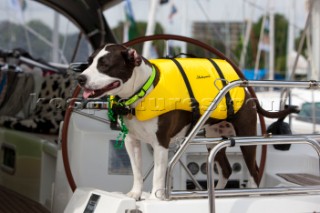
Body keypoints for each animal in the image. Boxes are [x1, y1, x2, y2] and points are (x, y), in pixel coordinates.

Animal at [77, 43, 298, 200]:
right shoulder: (132, 141)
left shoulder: (161, 143)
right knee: (226, 169)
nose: (80, 78)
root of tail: (245, 87)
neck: (139, 91)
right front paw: (135, 193)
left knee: (253, 170)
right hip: (214, 137)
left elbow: (158, 173)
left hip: (246, 137)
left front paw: (155, 197)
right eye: (88, 62)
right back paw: (217, 192)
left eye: (105, 65)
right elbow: (137, 171)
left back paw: (252, 194)